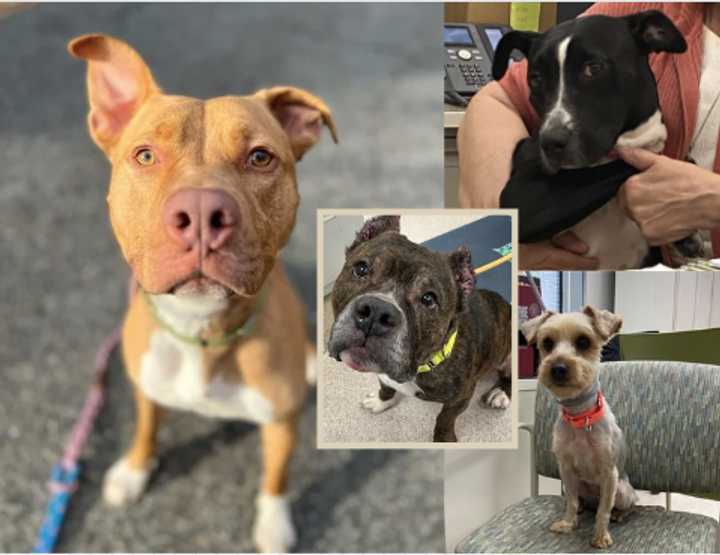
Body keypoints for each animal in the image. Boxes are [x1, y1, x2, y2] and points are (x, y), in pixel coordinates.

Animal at [67, 33, 338, 552]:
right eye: (145, 155)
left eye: (260, 157)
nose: (199, 212)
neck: (201, 327)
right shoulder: (146, 387)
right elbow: (146, 429)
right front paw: (134, 471)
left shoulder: (281, 421)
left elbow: (276, 476)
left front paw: (274, 524)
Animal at [524, 306, 636, 548]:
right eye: (547, 343)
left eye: (584, 342)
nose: (558, 367)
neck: (579, 415)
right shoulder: (565, 469)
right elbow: (572, 503)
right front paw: (568, 523)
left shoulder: (609, 474)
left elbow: (603, 511)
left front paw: (601, 536)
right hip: (578, 484)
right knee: (579, 500)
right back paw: (583, 508)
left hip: (622, 490)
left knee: (623, 505)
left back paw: (619, 514)